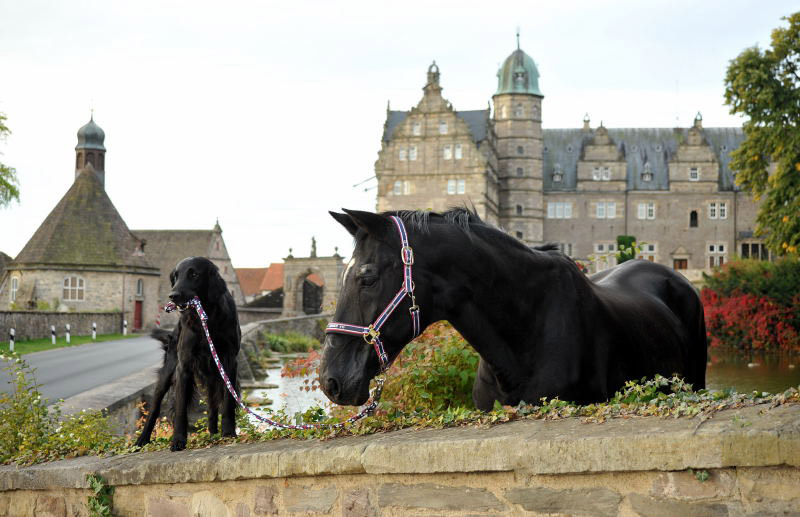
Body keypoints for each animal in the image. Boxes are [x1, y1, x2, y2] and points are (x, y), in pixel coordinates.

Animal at [135, 256, 241, 450]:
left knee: (213, 406)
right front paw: (178, 440)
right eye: (175, 276)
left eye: (194, 274)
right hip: (167, 372)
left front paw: (228, 432)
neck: (206, 319)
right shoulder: (183, 366)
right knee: (154, 408)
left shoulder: (229, 361)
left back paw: (213, 434)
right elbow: (181, 409)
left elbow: (228, 401)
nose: (173, 296)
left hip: (213, 375)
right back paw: (142, 439)